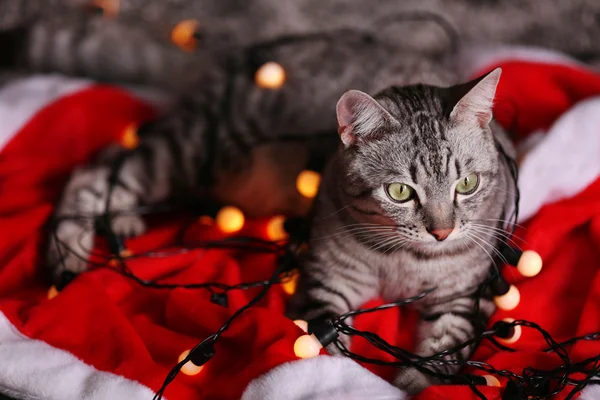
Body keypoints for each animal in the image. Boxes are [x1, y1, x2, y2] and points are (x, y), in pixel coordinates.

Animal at [288, 67, 512, 392]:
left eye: (468, 184)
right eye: (399, 191)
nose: (442, 232)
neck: (407, 261)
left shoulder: (463, 298)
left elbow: (442, 350)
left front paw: (408, 385)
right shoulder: (331, 278)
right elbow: (325, 337)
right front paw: (344, 372)